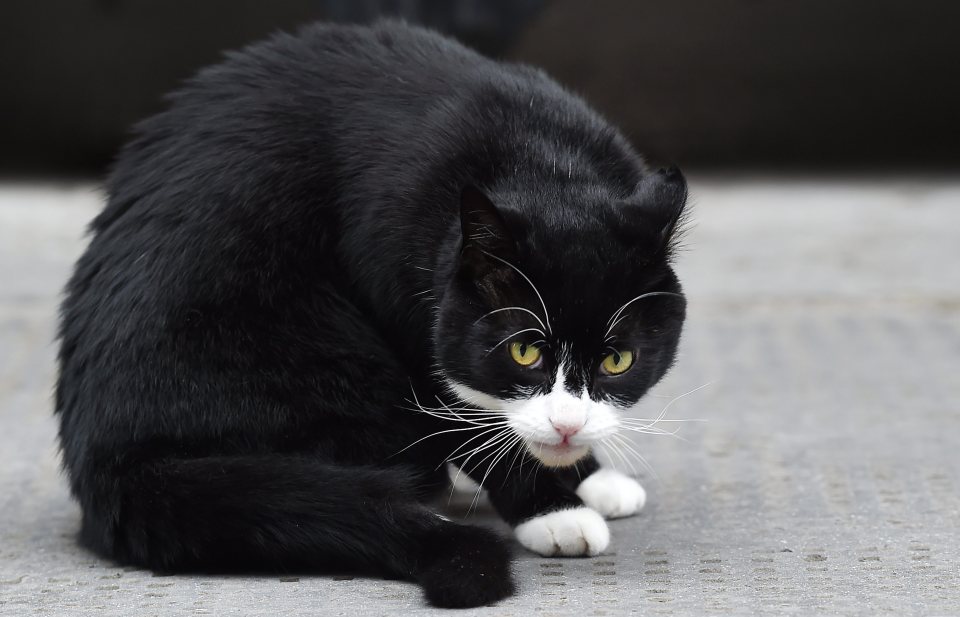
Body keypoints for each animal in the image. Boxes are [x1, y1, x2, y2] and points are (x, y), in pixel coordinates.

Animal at [54, 19, 684, 608]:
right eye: (523, 351)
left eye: (618, 360)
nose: (568, 426)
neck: (544, 161)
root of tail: (112, 466)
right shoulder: (401, 303)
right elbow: (460, 415)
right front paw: (553, 510)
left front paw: (590, 477)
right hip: (315, 352)